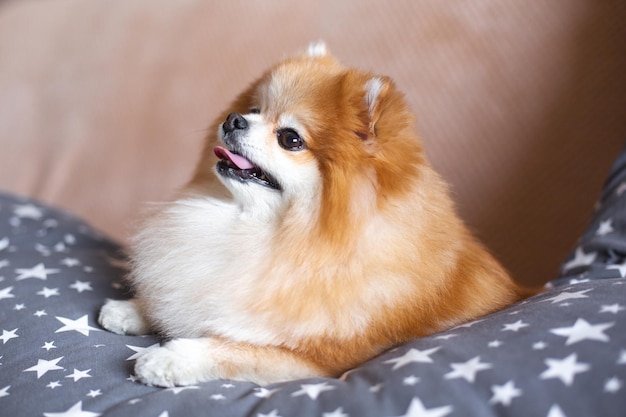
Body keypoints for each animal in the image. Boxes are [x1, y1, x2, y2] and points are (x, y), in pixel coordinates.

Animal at [98, 43, 532, 386]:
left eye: (290, 139)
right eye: (253, 110)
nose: (234, 120)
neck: (280, 235)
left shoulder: (315, 359)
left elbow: (229, 346)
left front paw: (169, 357)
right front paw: (134, 308)